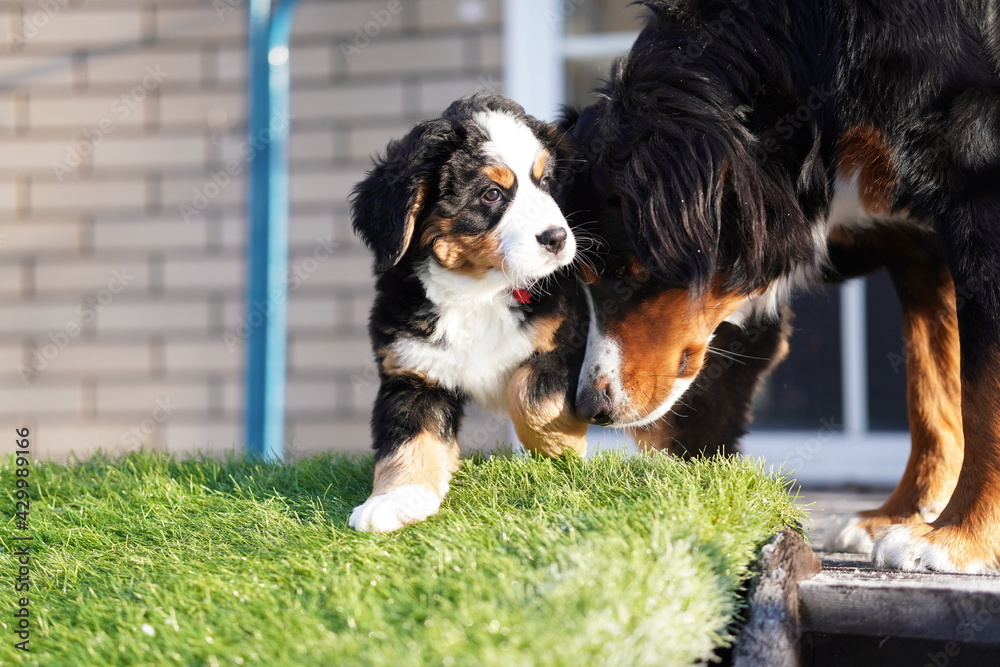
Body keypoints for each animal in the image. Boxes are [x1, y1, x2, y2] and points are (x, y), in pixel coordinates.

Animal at [348, 94, 588, 536]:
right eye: (491, 194)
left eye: (545, 183)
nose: (557, 238)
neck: (477, 291)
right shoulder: (413, 370)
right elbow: (409, 437)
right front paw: (396, 499)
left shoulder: (570, 341)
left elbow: (529, 394)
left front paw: (560, 451)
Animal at [564, 1, 1000, 576]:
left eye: (621, 273)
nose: (589, 407)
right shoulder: (916, 246)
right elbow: (931, 385)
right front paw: (896, 517)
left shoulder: (981, 195)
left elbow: (982, 393)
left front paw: (957, 538)